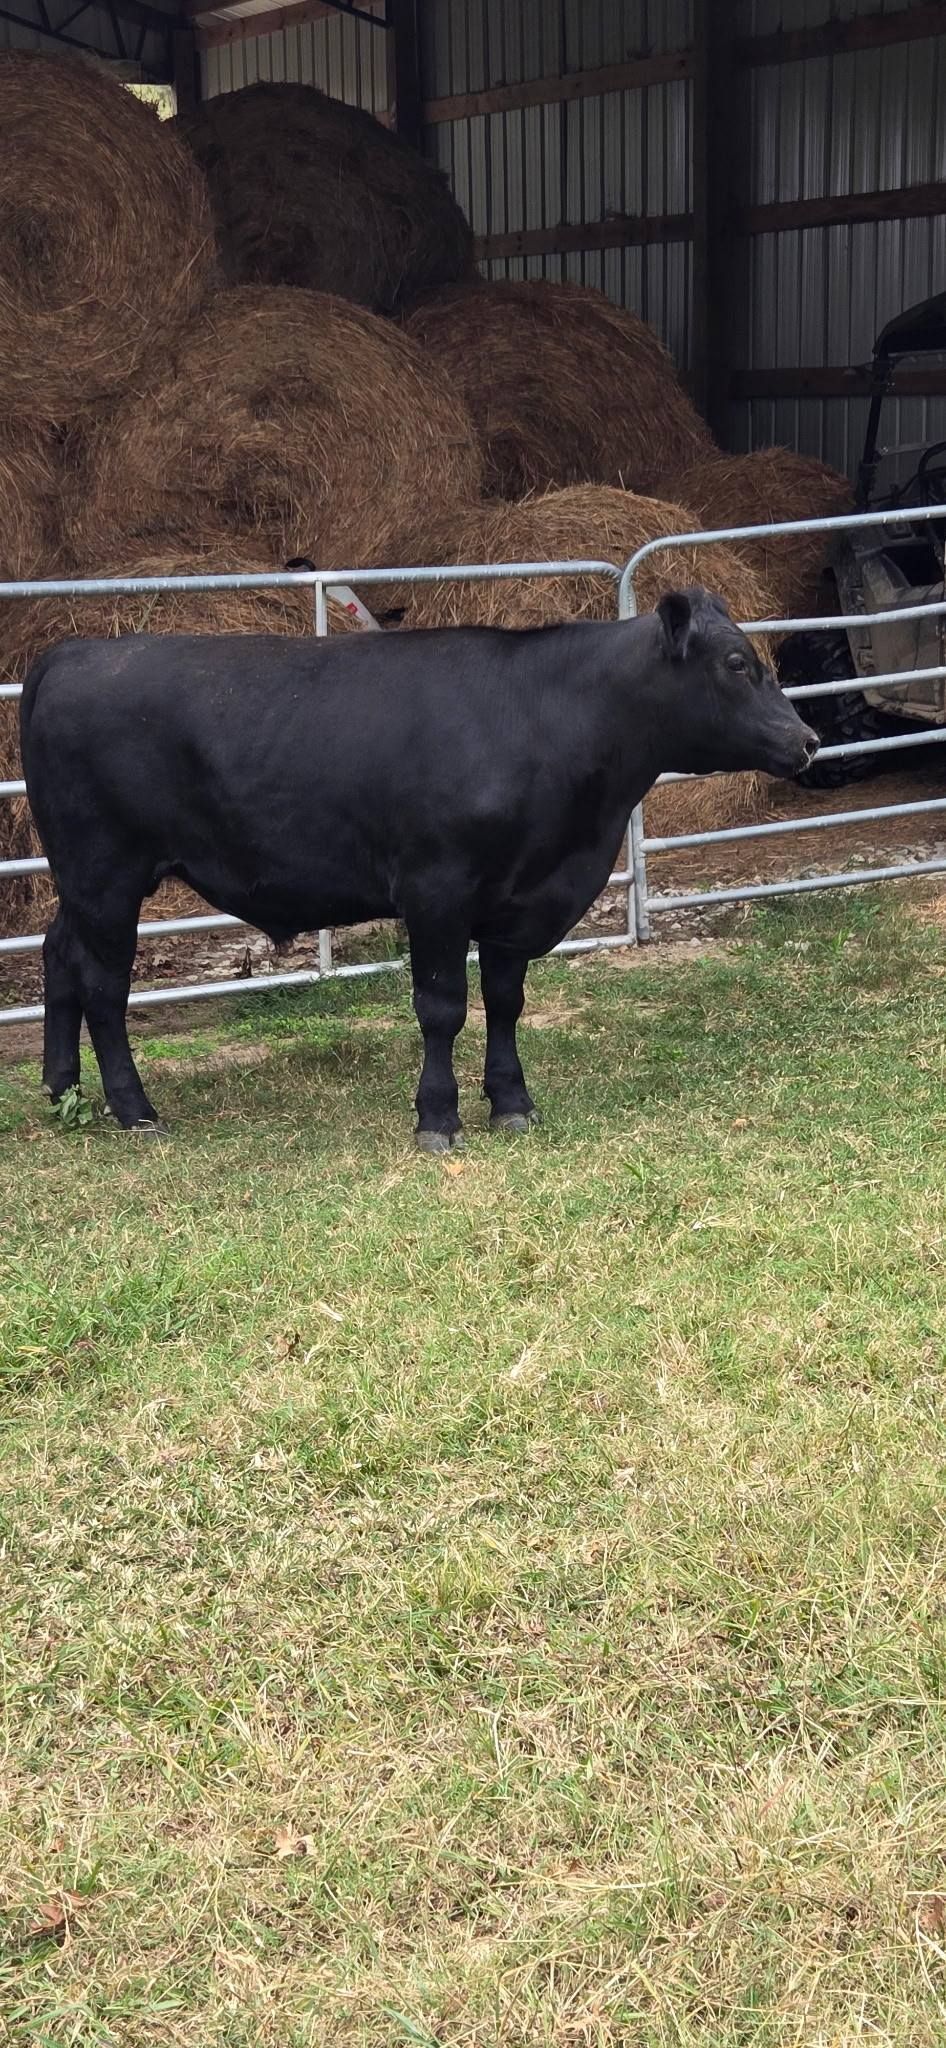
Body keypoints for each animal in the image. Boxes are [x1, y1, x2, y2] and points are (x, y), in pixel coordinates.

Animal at [20, 590, 817, 1148]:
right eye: (737, 664)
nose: (807, 739)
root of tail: (71, 653)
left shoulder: (515, 900)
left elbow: (504, 1003)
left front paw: (512, 1103)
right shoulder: (438, 889)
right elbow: (443, 1008)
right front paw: (438, 1117)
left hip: (81, 881)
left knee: (58, 955)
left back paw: (62, 1092)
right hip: (106, 873)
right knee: (103, 987)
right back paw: (134, 1109)